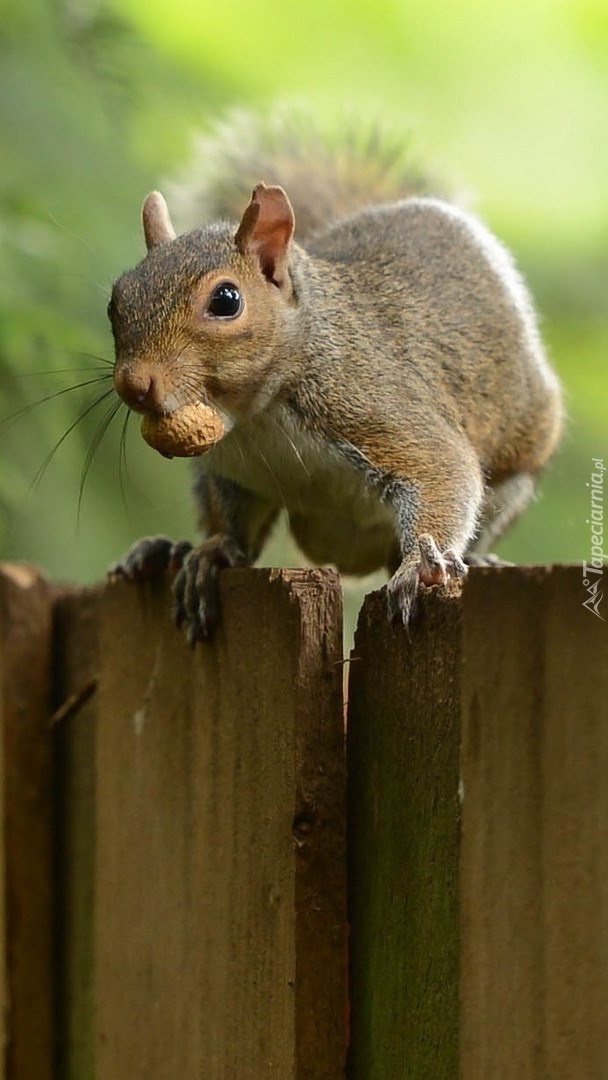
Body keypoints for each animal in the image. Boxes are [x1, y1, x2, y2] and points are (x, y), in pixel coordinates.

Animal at [106, 107, 565, 639]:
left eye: (226, 300)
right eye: (116, 300)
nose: (134, 384)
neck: (256, 415)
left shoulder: (376, 403)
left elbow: (442, 469)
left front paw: (421, 566)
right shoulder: (231, 473)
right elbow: (236, 527)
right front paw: (213, 553)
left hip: (512, 479)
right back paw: (168, 551)